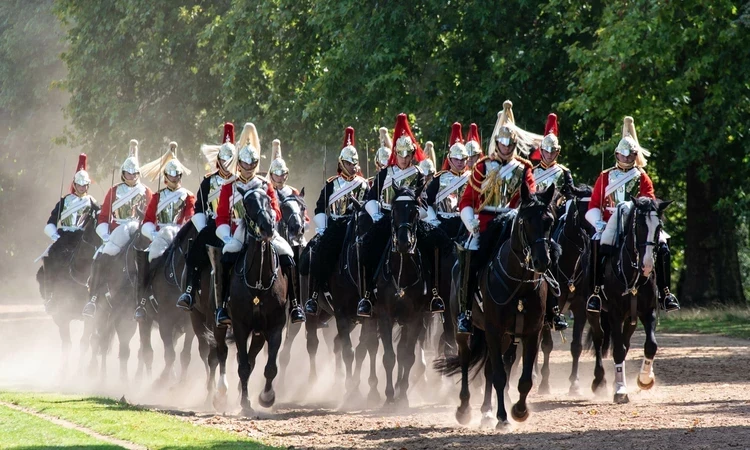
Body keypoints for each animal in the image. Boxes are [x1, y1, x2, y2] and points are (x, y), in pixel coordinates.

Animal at [37, 211, 99, 372]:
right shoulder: (61, 316)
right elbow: (67, 345)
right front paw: (63, 373)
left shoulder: (90, 317)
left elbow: (84, 342)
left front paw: (79, 372)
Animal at [134, 223, 197, 384]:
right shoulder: (165, 322)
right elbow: (169, 355)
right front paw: (159, 381)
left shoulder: (189, 326)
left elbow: (184, 355)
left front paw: (181, 383)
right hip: (145, 320)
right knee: (146, 351)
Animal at [438, 183, 560, 428]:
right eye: (525, 220)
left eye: (550, 220)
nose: (542, 262)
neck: (519, 284)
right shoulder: (494, 330)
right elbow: (500, 376)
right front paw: (502, 417)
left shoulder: (531, 332)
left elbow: (523, 379)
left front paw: (519, 410)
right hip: (464, 330)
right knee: (466, 360)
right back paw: (465, 408)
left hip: (503, 337)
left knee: (488, 368)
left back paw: (486, 411)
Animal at [536, 185, 596, 396]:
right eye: (583, 207)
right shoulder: (548, 309)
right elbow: (546, 345)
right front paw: (544, 384)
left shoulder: (580, 308)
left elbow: (576, 346)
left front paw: (574, 384)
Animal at [588, 197, 668, 404]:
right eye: (639, 225)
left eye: (659, 227)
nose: (647, 266)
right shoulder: (615, 314)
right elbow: (616, 349)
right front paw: (620, 390)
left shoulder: (648, 312)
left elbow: (651, 345)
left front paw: (645, 379)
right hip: (594, 312)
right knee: (599, 339)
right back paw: (599, 381)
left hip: (630, 319)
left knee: (625, 343)